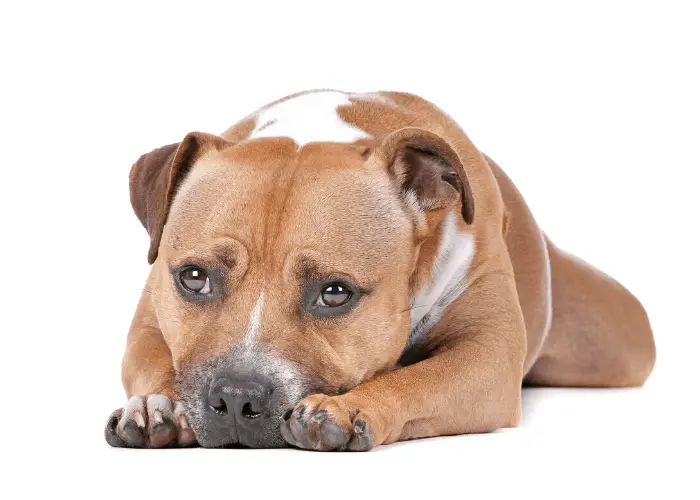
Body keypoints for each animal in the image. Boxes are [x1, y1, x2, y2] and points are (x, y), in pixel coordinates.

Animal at [104, 91, 656, 454]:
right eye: (194, 278)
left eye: (334, 293)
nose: (237, 397)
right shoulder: (149, 318)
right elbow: (155, 359)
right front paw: (155, 406)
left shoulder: (489, 352)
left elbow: (419, 380)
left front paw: (349, 408)